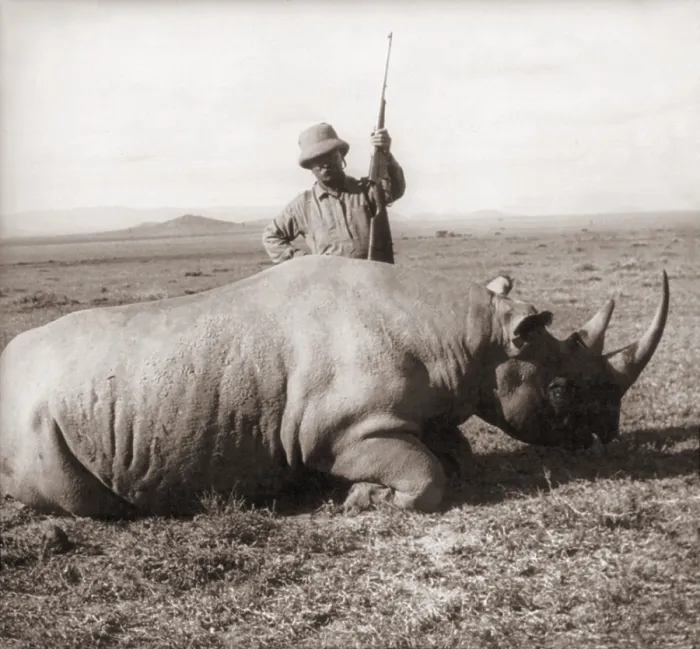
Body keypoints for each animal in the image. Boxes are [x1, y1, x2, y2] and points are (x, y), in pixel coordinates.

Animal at [0, 256, 668, 517]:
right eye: (562, 390)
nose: (608, 434)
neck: (473, 337)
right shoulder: (338, 432)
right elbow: (428, 476)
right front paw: (362, 499)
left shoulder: (416, 413)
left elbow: (455, 454)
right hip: (37, 423)